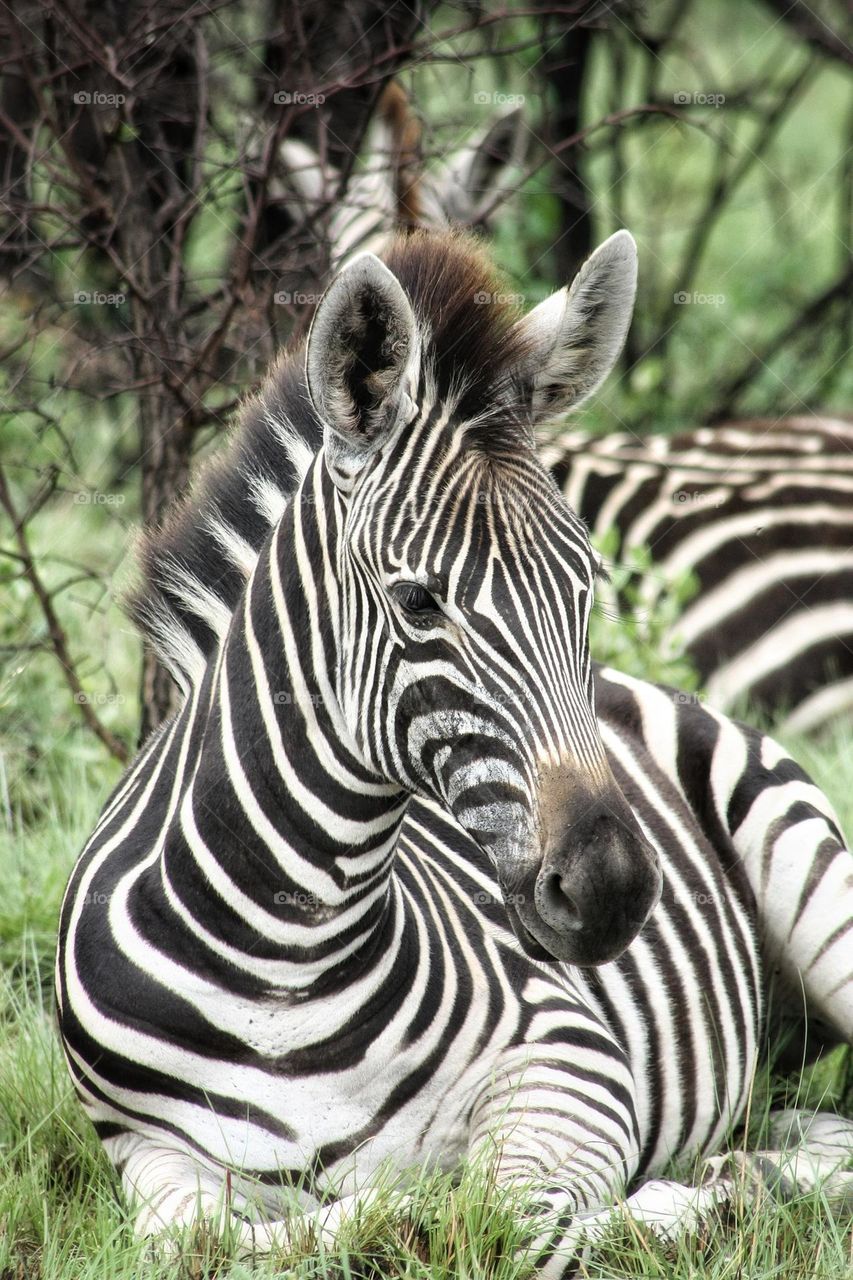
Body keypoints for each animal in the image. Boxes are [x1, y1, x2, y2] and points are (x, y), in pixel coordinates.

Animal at [54, 227, 850, 1269]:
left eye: (586, 586)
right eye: (418, 601)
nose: (612, 889)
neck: (280, 977)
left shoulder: (568, 1055)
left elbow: (495, 1213)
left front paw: (669, 1206)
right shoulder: (142, 1147)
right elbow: (203, 1241)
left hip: (813, 886)